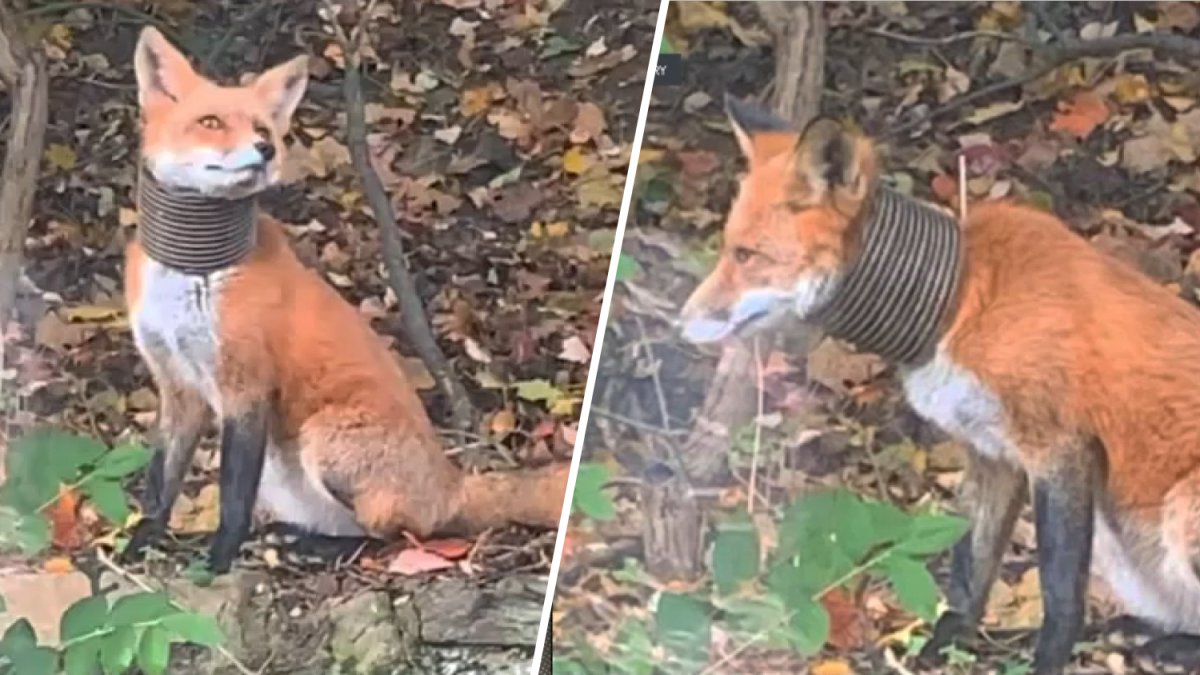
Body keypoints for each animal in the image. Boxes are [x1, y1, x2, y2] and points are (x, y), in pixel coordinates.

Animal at [121, 27, 569, 574]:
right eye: (210, 122)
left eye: (263, 128)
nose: (264, 149)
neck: (193, 270)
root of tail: (452, 482)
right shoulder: (178, 384)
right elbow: (161, 480)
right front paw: (141, 542)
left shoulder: (246, 387)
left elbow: (232, 498)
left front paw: (218, 562)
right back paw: (291, 537)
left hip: (324, 439)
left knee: (398, 535)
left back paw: (316, 549)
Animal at [679, 95, 1200, 674]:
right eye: (728, 248)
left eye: (747, 255)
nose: (681, 321)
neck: (960, 302)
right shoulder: (992, 454)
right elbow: (970, 569)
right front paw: (941, 649)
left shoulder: (1059, 451)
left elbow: (1061, 593)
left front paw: (1044, 662)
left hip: (1181, 508)